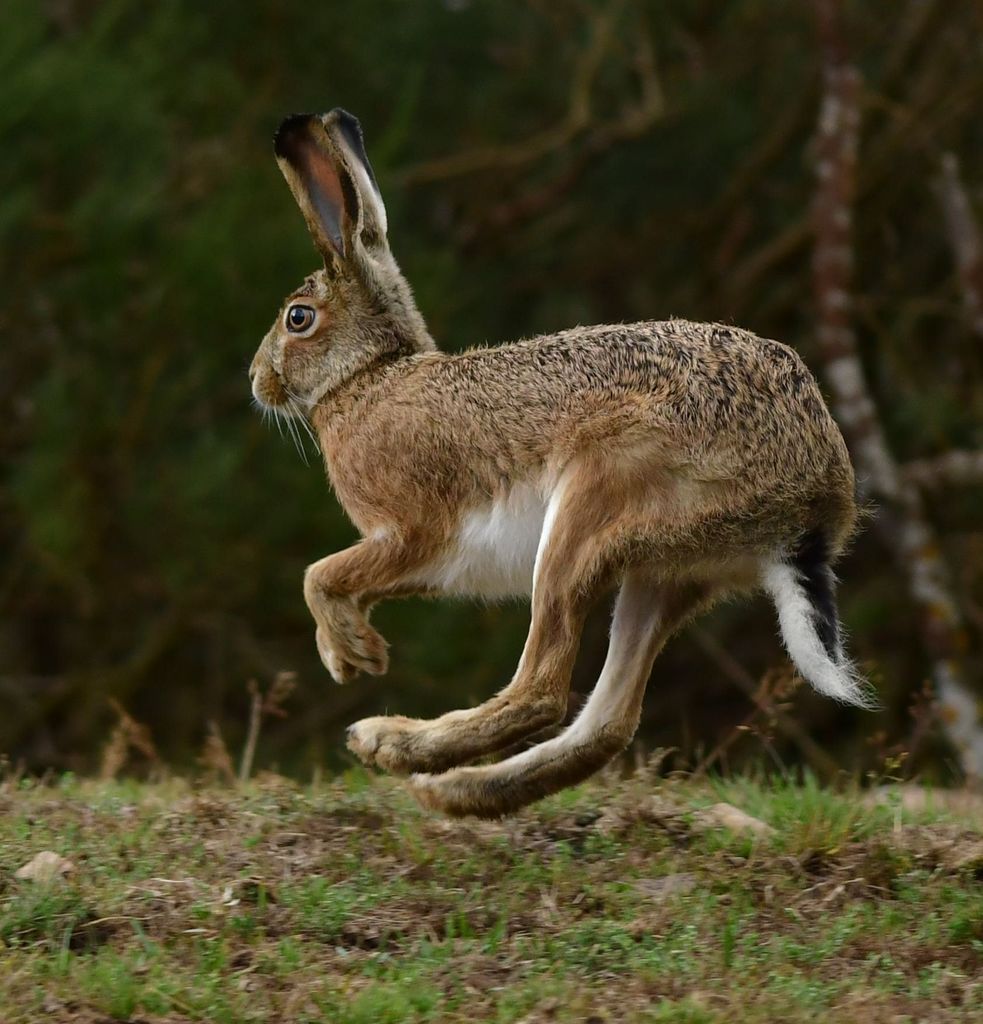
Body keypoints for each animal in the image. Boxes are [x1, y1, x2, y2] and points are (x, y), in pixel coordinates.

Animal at [249, 108, 872, 819]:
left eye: (298, 318)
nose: (257, 380)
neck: (367, 376)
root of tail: (811, 502)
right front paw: (351, 650)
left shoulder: (416, 534)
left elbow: (321, 575)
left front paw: (352, 656)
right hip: (663, 572)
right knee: (606, 723)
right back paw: (453, 790)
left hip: (589, 511)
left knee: (541, 690)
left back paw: (393, 745)